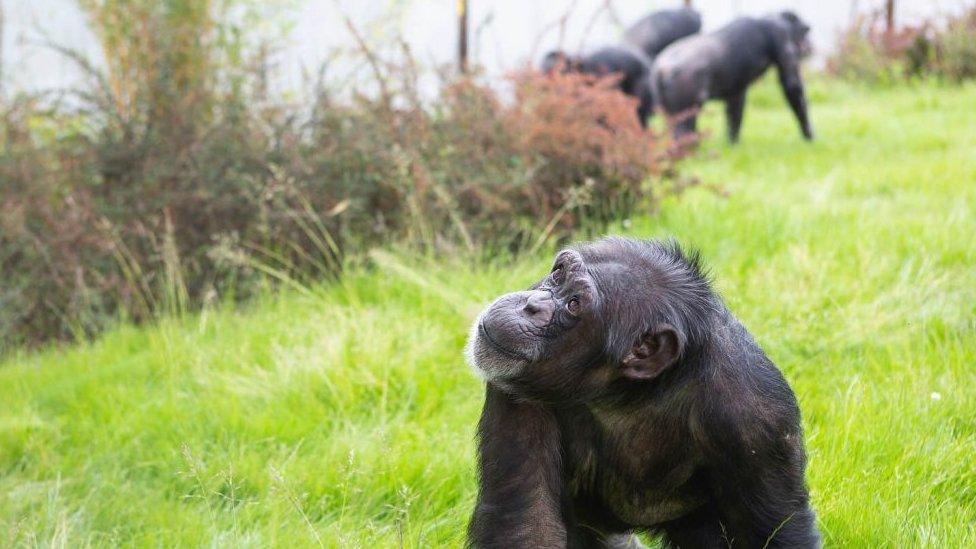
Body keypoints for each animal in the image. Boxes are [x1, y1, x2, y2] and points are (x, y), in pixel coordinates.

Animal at [468, 239, 820, 548]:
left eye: (573, 305)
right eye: (558, 274)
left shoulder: (758, 422)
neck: (630, 393)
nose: (532, 304)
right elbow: (531, 523)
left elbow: (773, 534)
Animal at [652, 12, 820, 143]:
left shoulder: (735, 90)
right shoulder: (780, 34)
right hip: (686, 90)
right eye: (805, 30)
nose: (809, 44)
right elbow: (792, 85)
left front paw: (732, 144)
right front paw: (809, 135)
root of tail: (662, 69)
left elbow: (734, 108)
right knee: (684, 127)